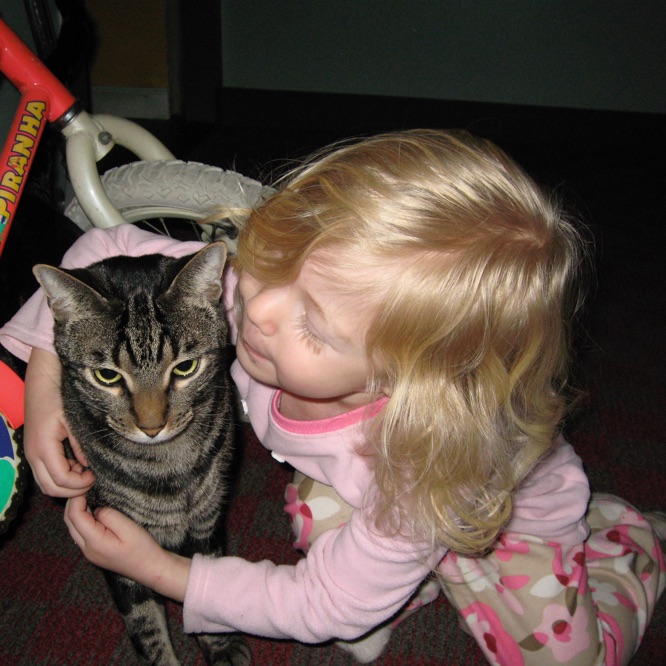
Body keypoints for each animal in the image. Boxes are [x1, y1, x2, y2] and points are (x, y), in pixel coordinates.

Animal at [32, 243, 249, 664]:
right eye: (107, 376)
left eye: (185, 367)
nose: (152, 427)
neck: (167, 464)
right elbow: (146, 624)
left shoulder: (208, 522)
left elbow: (205, 579)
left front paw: (219, 646)